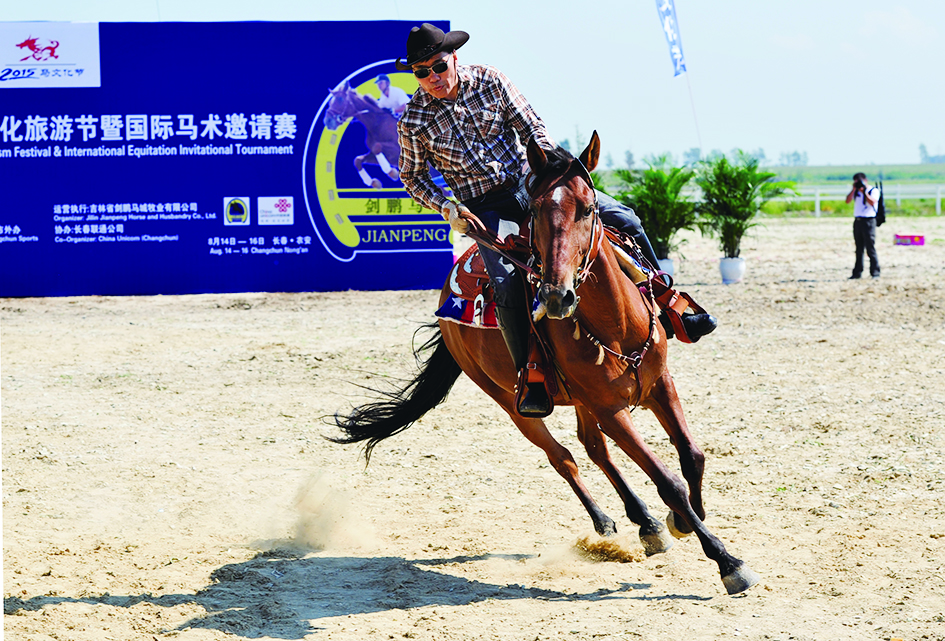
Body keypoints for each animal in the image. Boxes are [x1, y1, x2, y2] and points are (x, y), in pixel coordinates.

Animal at [332, 131, 760, 596]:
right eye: (537, 212)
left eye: (588, 208)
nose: (557, 297)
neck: (616, 325)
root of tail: (448, 295)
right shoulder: (610, 409)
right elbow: (668, 481)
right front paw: (726, 560)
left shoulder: (659, 384)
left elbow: (691, 457)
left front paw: (682, 521)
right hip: (514, 402)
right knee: (564, 456)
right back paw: (609, 520)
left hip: (584, 400)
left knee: (594, 449)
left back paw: (646, 524)